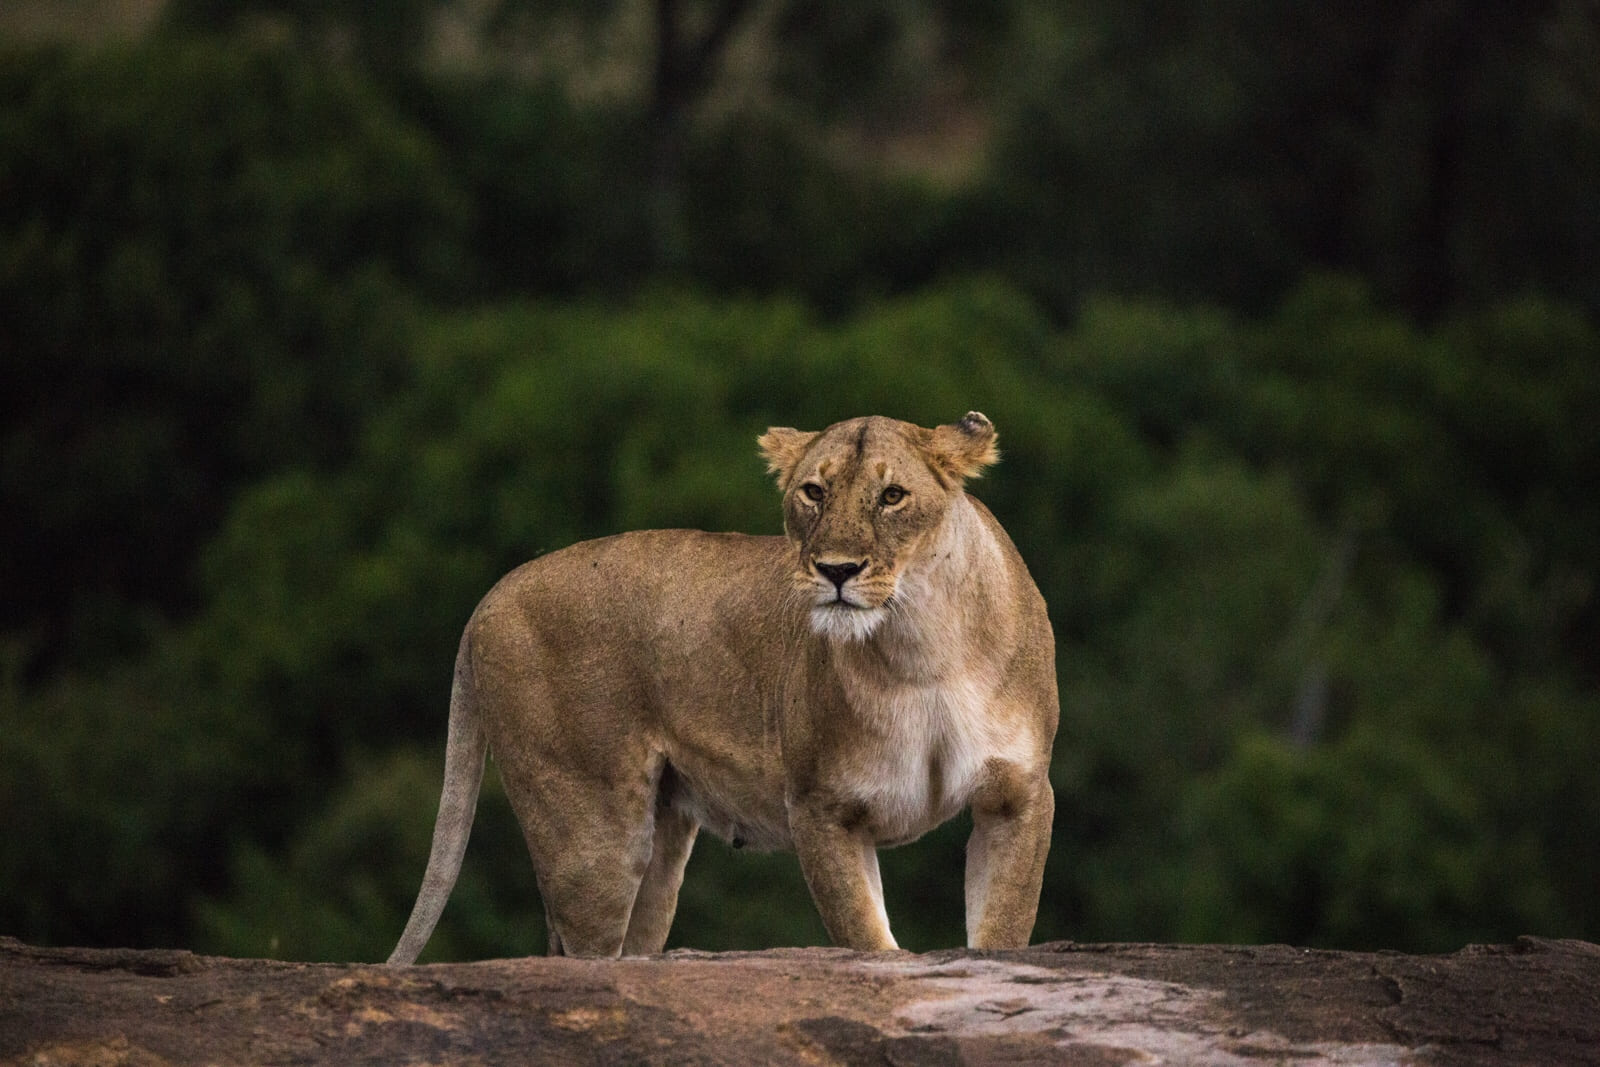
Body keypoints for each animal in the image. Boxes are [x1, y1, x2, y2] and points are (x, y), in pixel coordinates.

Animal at [386, 412, 1058, 962]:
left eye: (892, 496)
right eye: (813, 492)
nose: (837, 571)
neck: (921, 646)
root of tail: (494, 593)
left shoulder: (1018, 796)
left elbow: (1002, 931)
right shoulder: (822, 807)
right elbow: (870, 941)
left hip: (660, 846)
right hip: (591, 833)